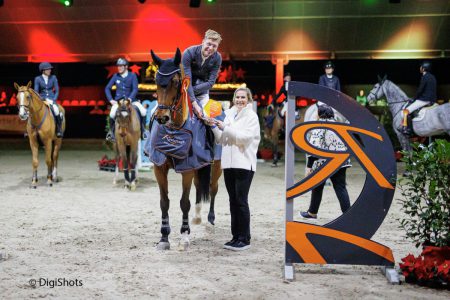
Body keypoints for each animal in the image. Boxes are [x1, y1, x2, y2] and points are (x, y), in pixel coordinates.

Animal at [150, 49, 222, 251]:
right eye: (156, 80)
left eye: (176, 82)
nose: (162, 117)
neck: (175, 129)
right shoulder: (159, 168)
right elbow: (164, 202)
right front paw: (164, 238)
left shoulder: (187, 168)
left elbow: (184, 202)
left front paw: (184, 236)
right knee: (199, 187)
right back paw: (196, 218)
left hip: (216, 166)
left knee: (213, 189)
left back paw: (209, 220)